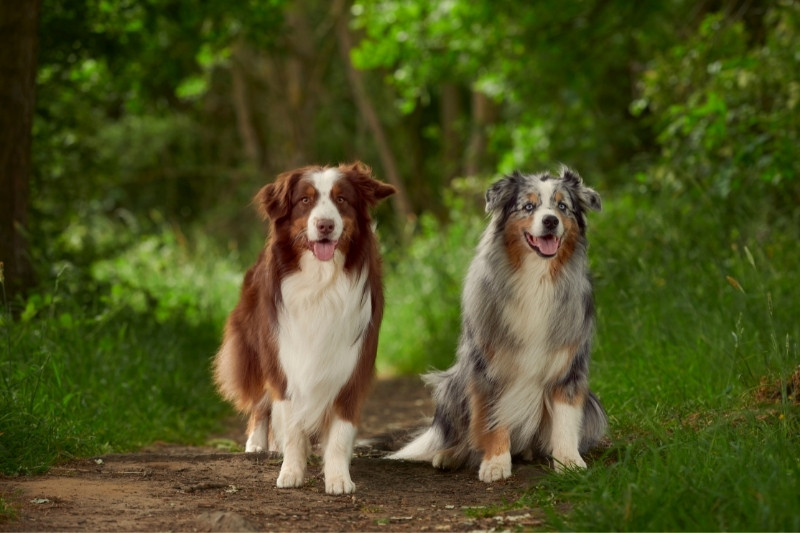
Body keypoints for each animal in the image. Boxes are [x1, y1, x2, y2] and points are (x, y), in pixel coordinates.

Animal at [214, 160, 396, 492]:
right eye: (304, 200)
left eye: (342, 199)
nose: (325, 225)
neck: (320, 282)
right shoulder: (285, 359)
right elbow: (292, 425)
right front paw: (291, 472)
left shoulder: (352, 365)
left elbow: (340, 432)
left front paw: (338, 477)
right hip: (256, 350)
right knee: (261, 403)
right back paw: (257, 444)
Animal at [390, 167, 608, 482]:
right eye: (528, 206)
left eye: (562, 206)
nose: (550, 220)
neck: (537, 278)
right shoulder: (488, 368)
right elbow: (493, 419)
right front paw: (495, 463)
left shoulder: (569, 366)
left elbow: (566, 421)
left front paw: (569, 461)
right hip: (452, 386)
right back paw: (451, 455)